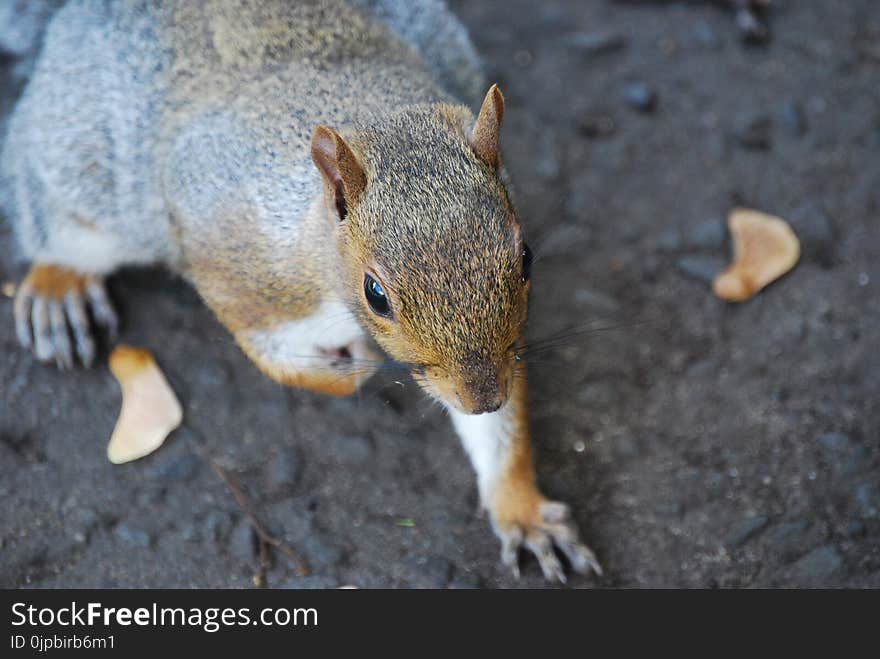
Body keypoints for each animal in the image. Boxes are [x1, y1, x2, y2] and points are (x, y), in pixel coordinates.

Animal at [0, 0, 600, 584]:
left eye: (526, 258)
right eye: (376, 294)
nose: (482, 398)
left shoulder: (503, 352)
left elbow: (500, 429)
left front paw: (522, 510)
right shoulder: (232, 264)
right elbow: (279, 361)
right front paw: (348, 367)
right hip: (81, 163)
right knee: (48, 211)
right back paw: (58, 287)